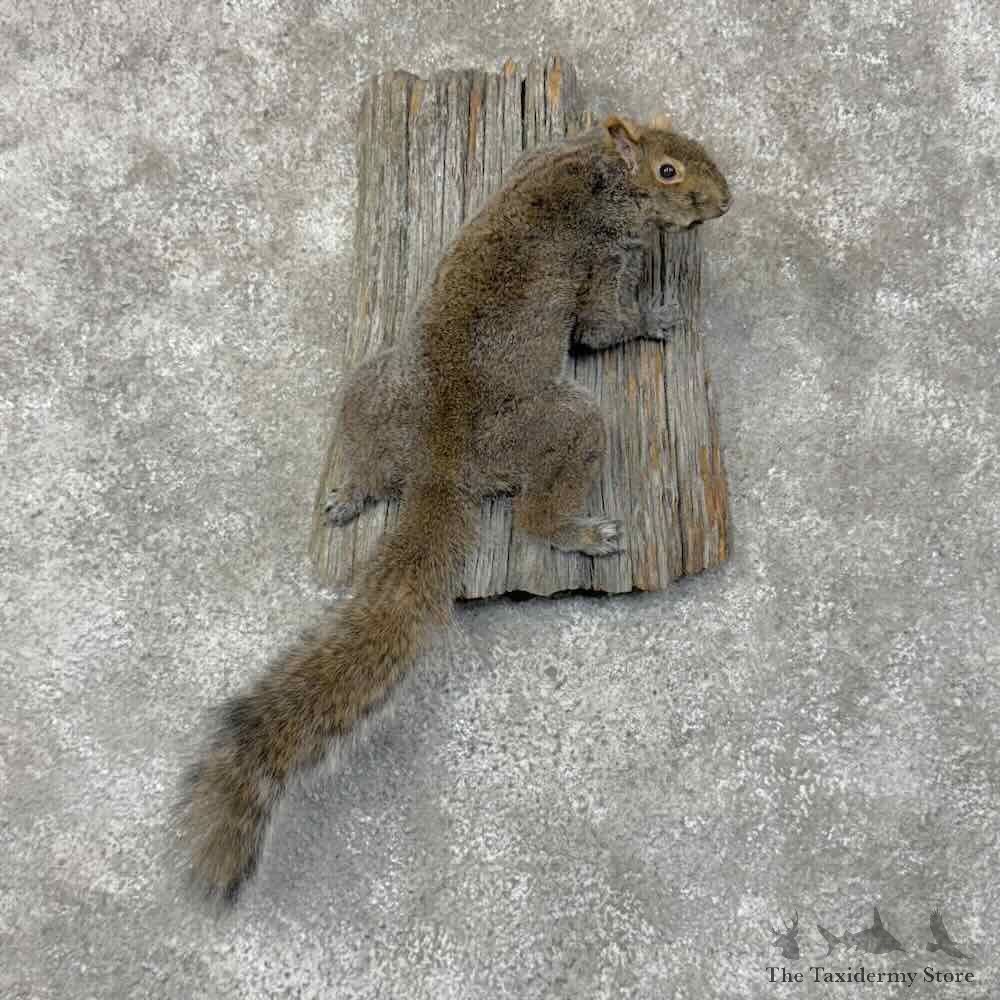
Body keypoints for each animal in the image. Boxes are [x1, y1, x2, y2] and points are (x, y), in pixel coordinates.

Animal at [177, 114, 731, 904]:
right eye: (668, 172)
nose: (724, 202)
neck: (596, 172)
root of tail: (441, 469)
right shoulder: (606, 258)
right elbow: (601, 327)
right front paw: (655, 318)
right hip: (566, 426)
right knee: (533, 517)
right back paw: (581, 533)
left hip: (373, 389)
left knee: (369, 456)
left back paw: (348, 492)